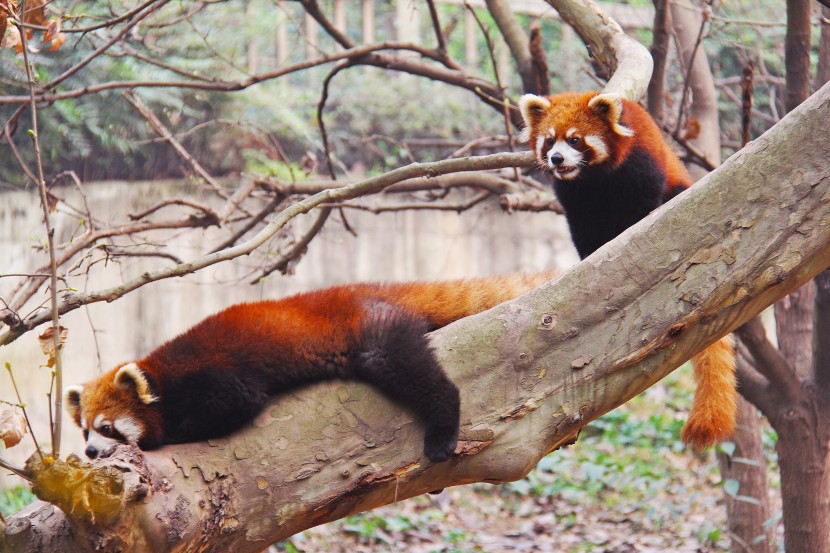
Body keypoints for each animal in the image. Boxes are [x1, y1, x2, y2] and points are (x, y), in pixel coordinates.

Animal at [66, 272, 560, 462]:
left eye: (107, 428)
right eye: (84, 430)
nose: (88, 452)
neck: (162, 373)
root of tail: (365, 289)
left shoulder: (215, 375)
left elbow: (233, 404)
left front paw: (164, 435)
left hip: (374, 335)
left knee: (419, 375)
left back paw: (442, 429)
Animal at [520, 88, 740, 446]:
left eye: (575, 140)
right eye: (549, 140)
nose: (557, 159)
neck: (594, 179)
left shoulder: (640, 165)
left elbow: (641, 205)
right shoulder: (575, 197)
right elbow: (584, 230)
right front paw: (591, 255)